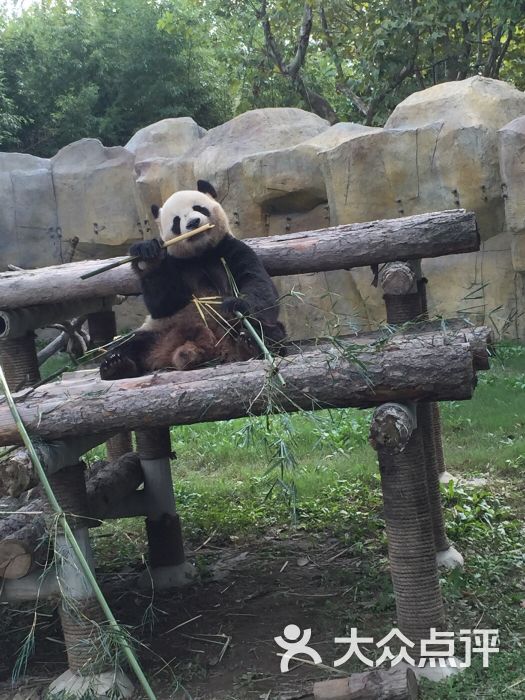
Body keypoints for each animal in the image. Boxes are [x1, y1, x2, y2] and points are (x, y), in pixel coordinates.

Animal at [98, 179, 286, 378]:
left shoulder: (230, 249)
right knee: (130, 343)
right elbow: (162, 303)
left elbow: (258, 283)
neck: (200, 254)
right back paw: (116, 365)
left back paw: (250, 342)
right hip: (159, 329)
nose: (193, 222)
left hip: (231, 324)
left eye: (199, 208)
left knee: (266, 329)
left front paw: (236, 304)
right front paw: (147, 255)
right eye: (176, 220)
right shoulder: (176, 264)